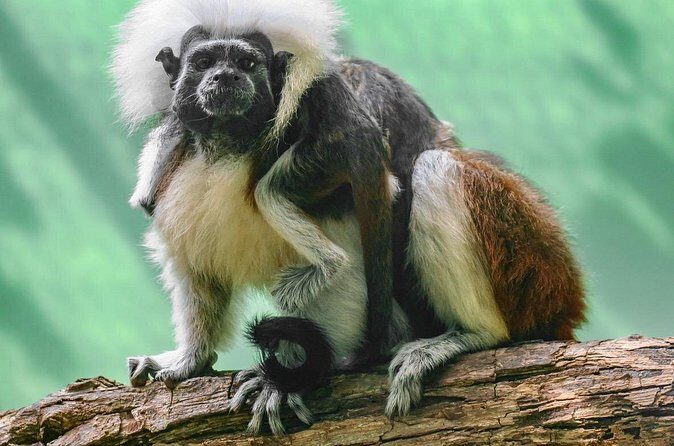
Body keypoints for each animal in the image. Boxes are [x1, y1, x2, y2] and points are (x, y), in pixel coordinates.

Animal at [112, 0, 586, 435]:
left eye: (247, 63)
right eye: (204, 62)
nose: (226, 78)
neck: (230, 149)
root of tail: (563, 296)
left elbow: (345, 275)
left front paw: (286, 379)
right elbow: (196, 267)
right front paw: (190, 360)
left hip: (525, 264)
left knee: (434, 169)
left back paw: (472, 335)